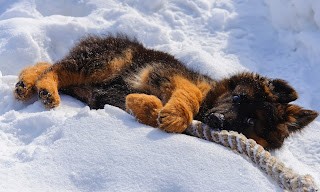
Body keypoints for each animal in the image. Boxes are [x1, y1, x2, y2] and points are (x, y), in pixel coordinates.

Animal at [14, 34, 318, 150]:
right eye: (236, 98)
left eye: (251, 121)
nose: (217, 121)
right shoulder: (169, 74)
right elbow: (190, 96)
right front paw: (173, 115)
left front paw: (144, 104)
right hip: (108, 61)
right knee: (55, 68)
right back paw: (46, 90)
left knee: (44, 65)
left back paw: (26, 83)